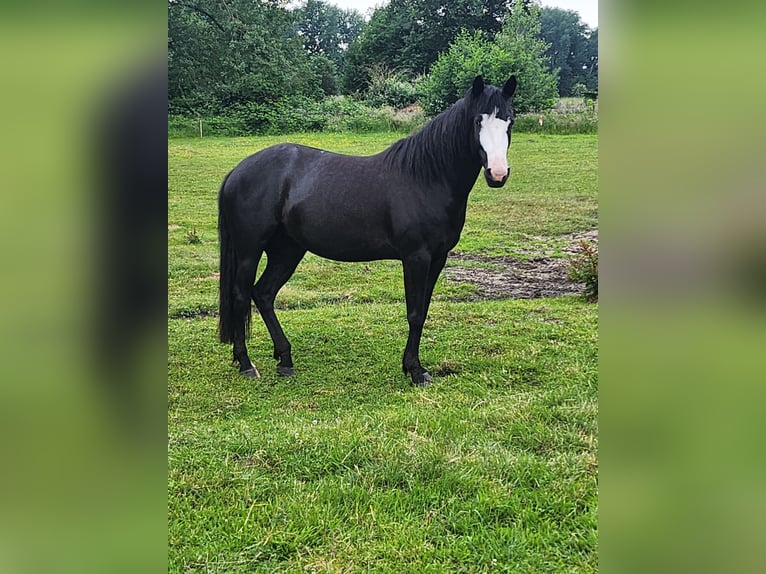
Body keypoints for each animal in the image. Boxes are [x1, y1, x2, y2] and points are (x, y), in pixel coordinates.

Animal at [218, 75, 517, 386]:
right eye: (477, 120)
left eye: (510, 120)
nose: (497, 173)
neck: (426, 177)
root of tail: (236, 172)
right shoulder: (416, 258)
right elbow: (414, 313)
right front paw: (415, 370)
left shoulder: (438, 258)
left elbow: (423, 310)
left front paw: (413, 366)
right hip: (249, 252)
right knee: (240, 296)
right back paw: (246, 364)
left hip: (287, 250)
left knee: (264, 294)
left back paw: (285, 359)